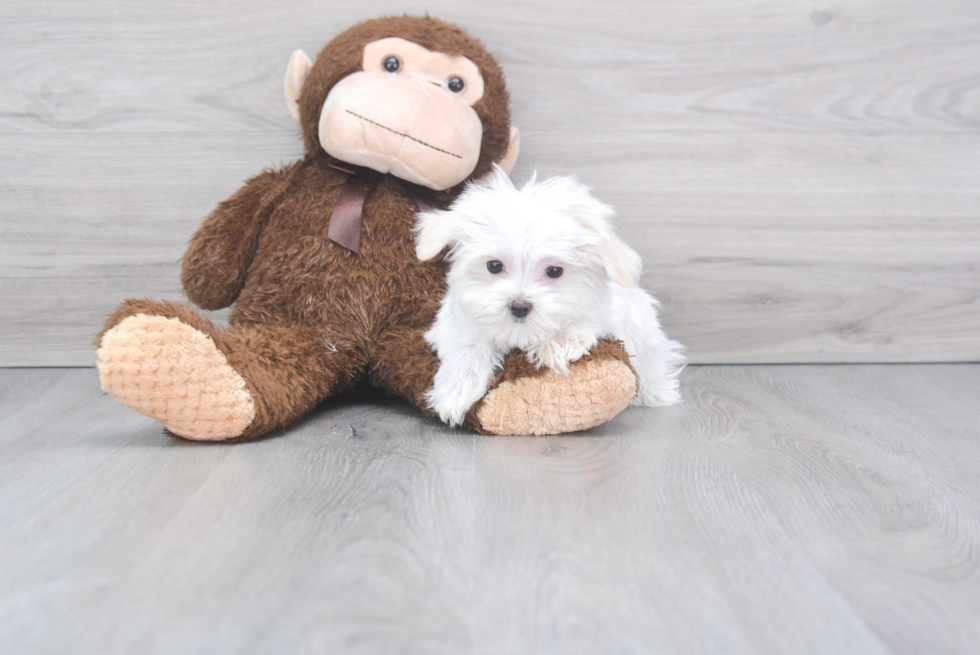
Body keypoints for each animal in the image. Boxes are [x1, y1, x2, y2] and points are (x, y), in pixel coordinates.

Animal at [418, 167, 684, 428]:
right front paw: (457, 388)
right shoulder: (451, 324)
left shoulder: (609, 313)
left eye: (554, 271)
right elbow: (468, 345)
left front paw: (559, 341)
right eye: (494, 265)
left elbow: (588, 320)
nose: (519, 306)